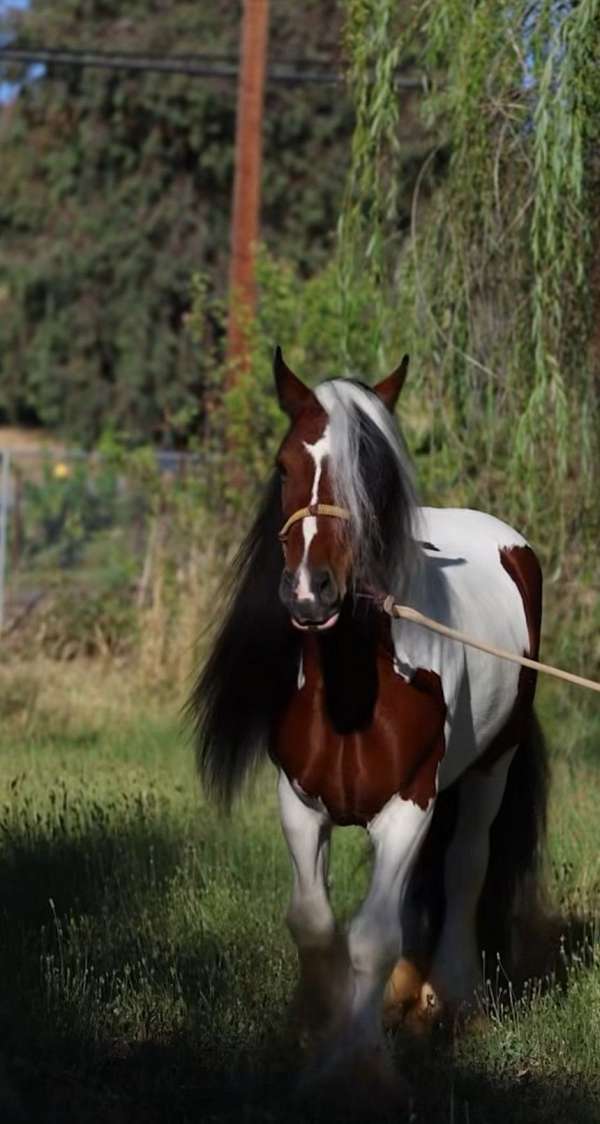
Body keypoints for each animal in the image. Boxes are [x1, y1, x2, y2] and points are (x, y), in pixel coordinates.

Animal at [190, 348, 548, 1095]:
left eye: (375, 472)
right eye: (284, 466)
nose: (309, 591)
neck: (358, 685)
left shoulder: (408, 804)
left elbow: (372, 937)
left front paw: (361, 1067)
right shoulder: (300, 803)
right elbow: (315, 923)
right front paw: (315, 1029)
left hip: (490, 767)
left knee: (465, 866)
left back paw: (453, 999)